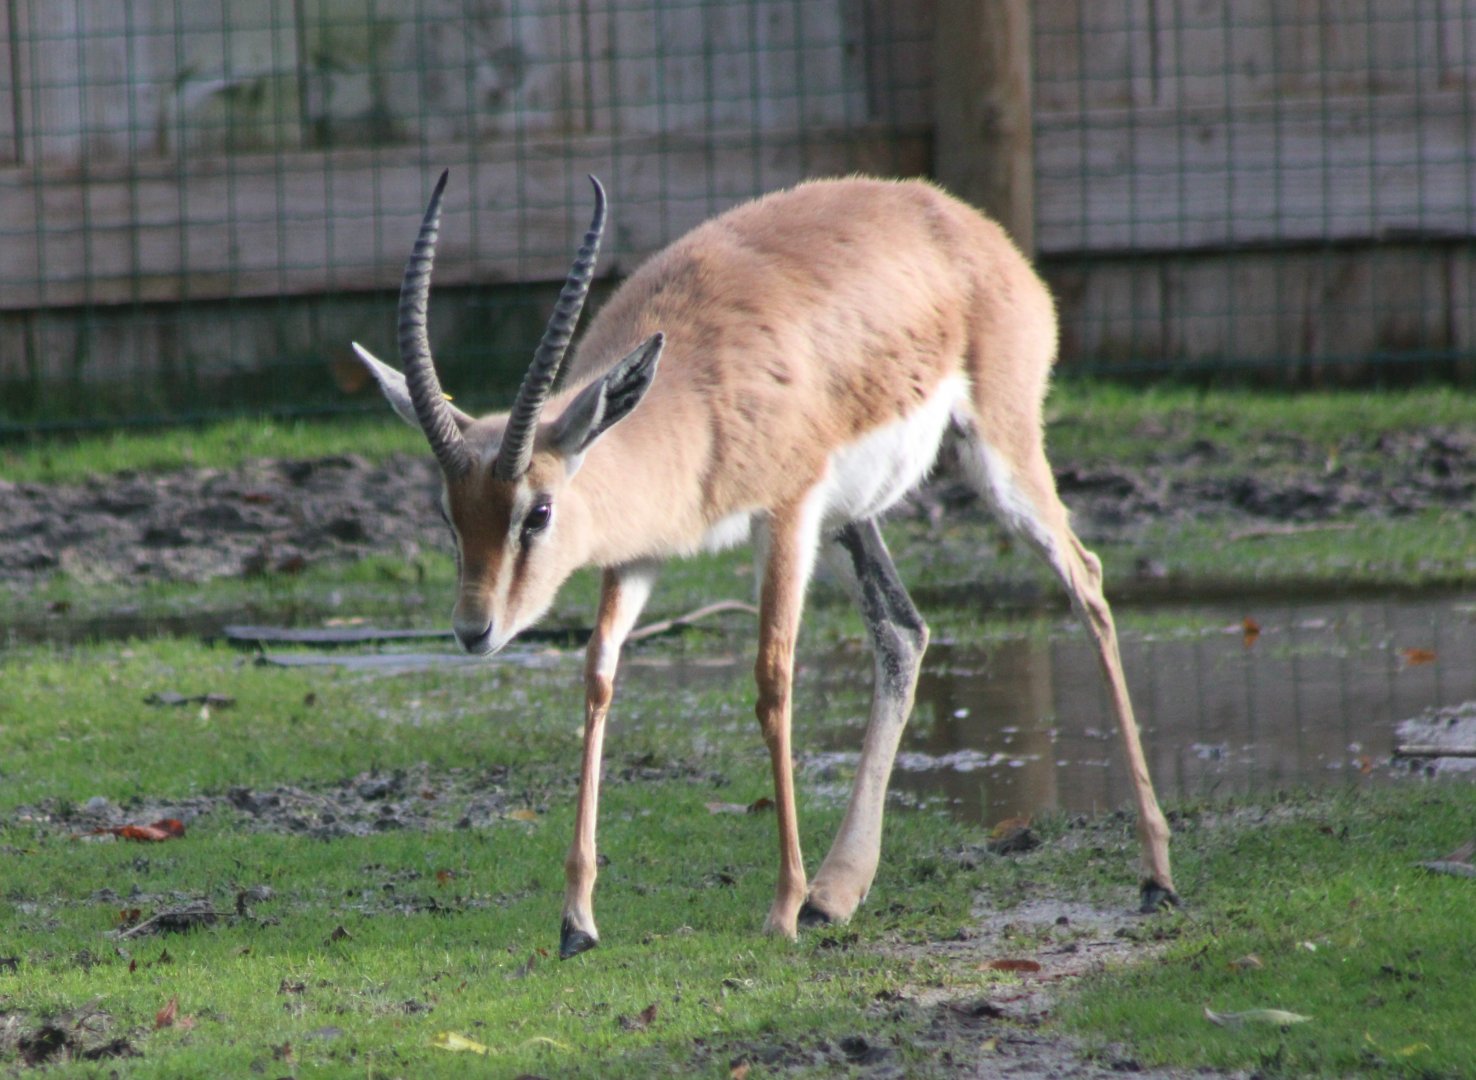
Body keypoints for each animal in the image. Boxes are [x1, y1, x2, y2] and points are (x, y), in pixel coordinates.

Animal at [352, 171, 1178, 959]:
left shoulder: (785, 513)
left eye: (539, 510)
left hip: (994, 456)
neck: (689, 401)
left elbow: (773, 681)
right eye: (449, 517)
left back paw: (1155, 876)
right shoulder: (640, 554)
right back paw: (836, 894)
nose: (473, 630)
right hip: (852, 520)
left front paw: (780, 908)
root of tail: (972, 228)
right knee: (904, 632)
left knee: (1087, 580)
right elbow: (598, 675)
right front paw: (577, 922)